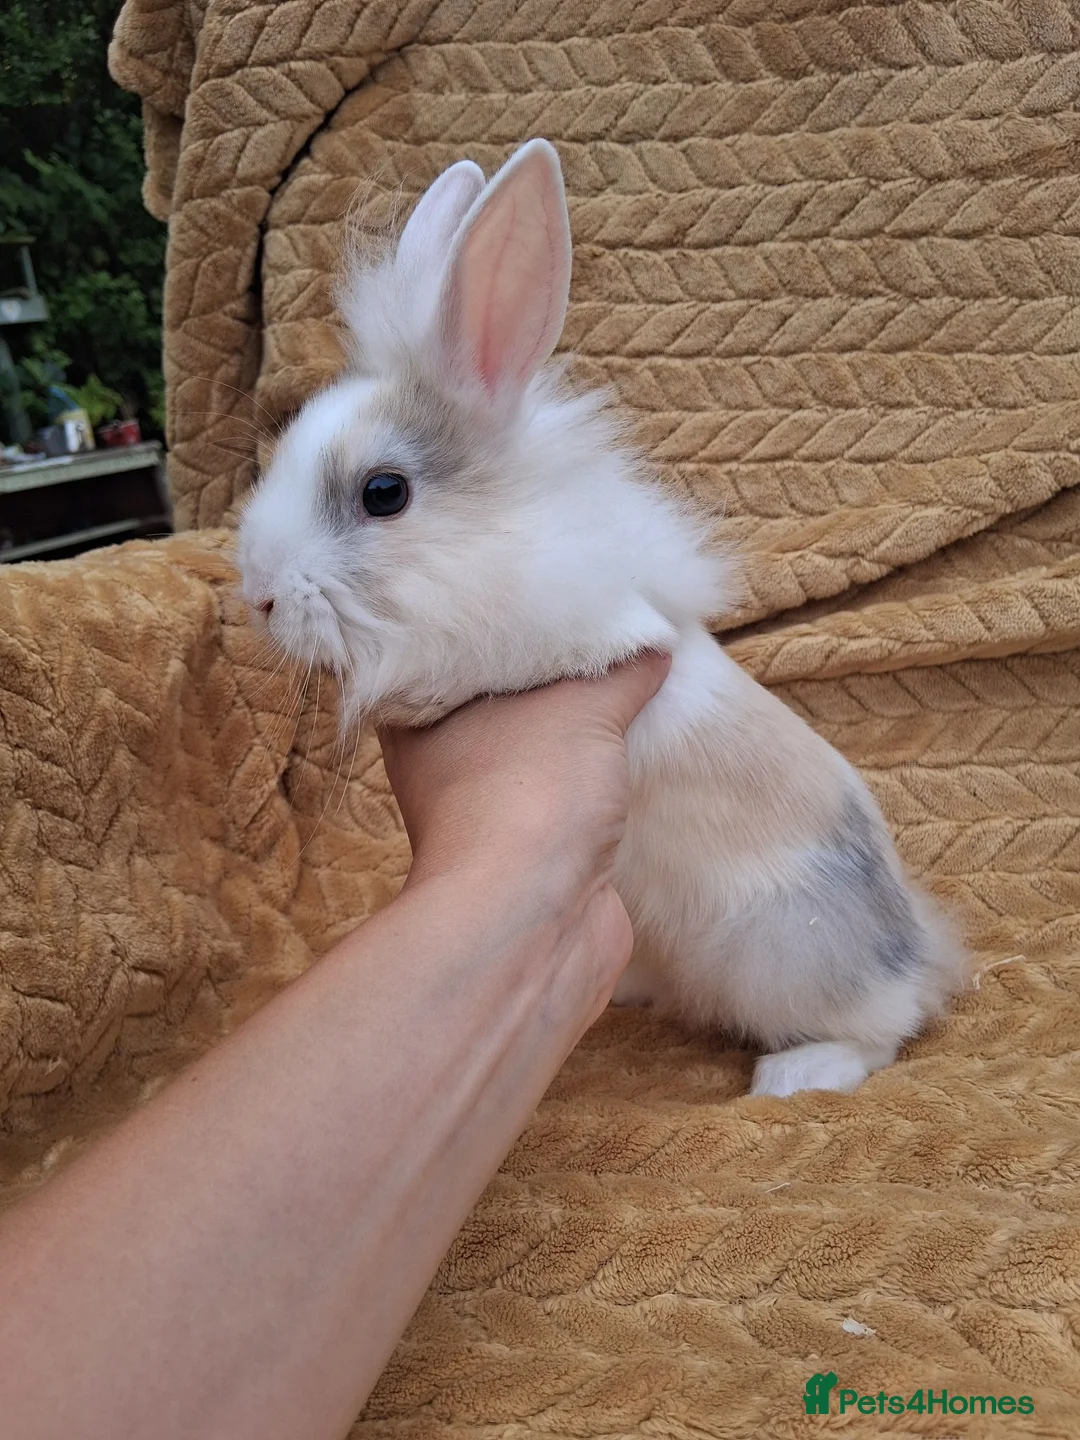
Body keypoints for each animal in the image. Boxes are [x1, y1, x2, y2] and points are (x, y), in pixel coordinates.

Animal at [237, 140, 964, 1097]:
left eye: (383, 493)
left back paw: (796, 1074)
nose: (258, 593)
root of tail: (915, 950)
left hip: (786, 958)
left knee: (887, 1030)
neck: (491, 543)